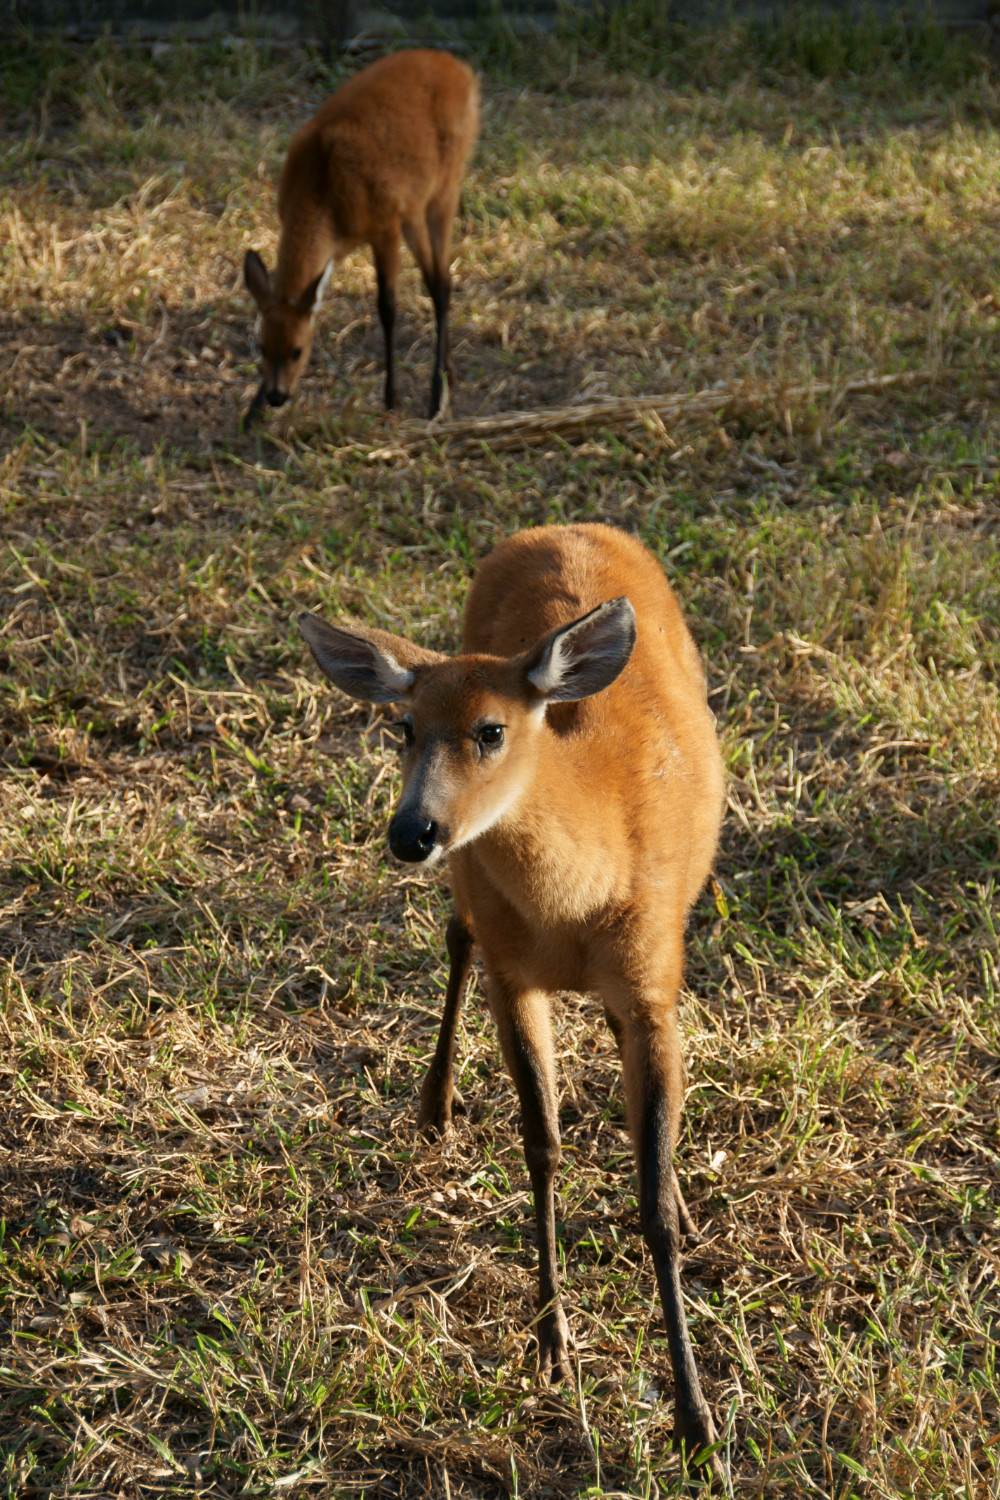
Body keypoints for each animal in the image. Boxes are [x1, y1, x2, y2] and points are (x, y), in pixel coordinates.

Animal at [242, 49, 476, 426]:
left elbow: (388, 307)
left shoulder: (385, 225)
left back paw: (436, 395)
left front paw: (391, 398)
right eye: (261, 347)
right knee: (440, 278)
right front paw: (251, 412)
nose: (277, 396)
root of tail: (460, 68)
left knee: (440, 281)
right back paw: (449, 373)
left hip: (442, 186)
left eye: (297, 351)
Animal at [296, 525, 728, 1476]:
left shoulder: (652, 984)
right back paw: (434, 1106)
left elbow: (650, 1200)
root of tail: (562, 530)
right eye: (403, 728)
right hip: (473, 899)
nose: (411, 832)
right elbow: (542, 1146)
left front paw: (696, 1420)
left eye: (491, 730)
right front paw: (552, 1344)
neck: (580, 899)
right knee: (456, 936)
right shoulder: (514, 977)